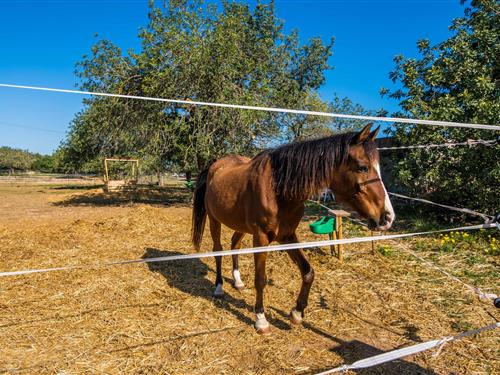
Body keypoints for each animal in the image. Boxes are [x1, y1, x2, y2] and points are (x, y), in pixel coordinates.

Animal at [191, 124, 394, 334]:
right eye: (363, 167)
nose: (387, 217)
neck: (278, 190)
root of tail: (215, 166)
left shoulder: (287, 236)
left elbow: (308, 272)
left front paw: (297, 313)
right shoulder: (261, 238)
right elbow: (260, 279)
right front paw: (261, 319)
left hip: (241, 225)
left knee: (234, 245)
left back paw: (237, 281)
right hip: (214, 220)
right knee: (218, 250)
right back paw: (219, 288)